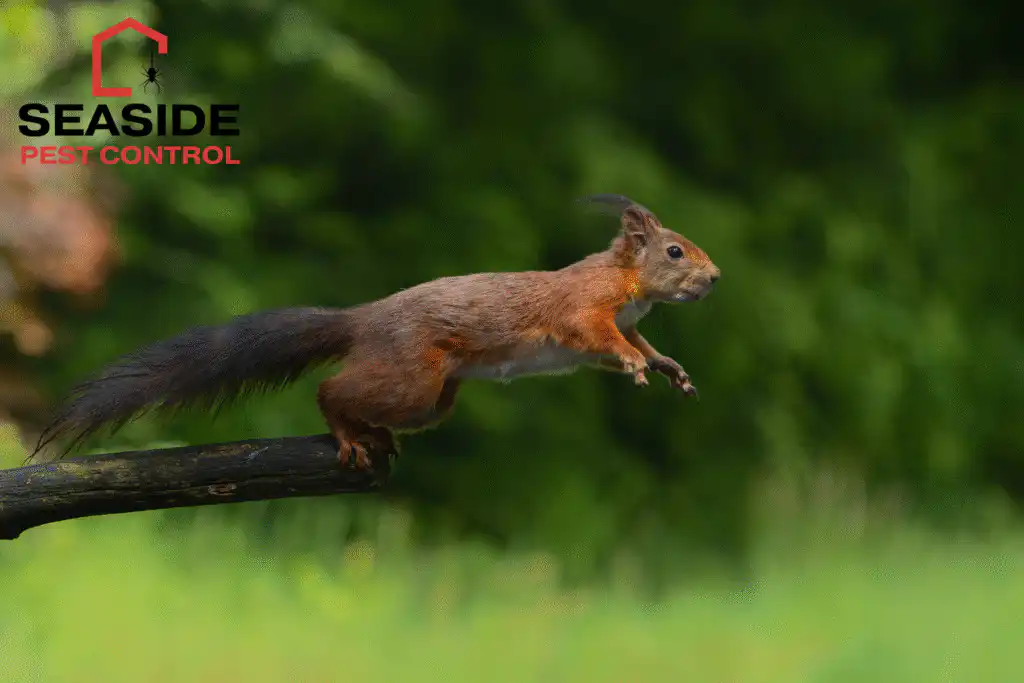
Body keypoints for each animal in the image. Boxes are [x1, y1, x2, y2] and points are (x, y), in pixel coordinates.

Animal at [33, 194, 720, 471]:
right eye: (675, 251)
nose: (715, 278)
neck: (626, 284)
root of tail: (362, 319)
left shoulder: (616, 325)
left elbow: (635, 347)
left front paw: (666, 367)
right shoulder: (584, 310)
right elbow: (602, 341)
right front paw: (637, 367)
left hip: (433, 400)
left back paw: (376, 436)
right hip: (411, 379)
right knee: (330, 392)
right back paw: (348, 434)